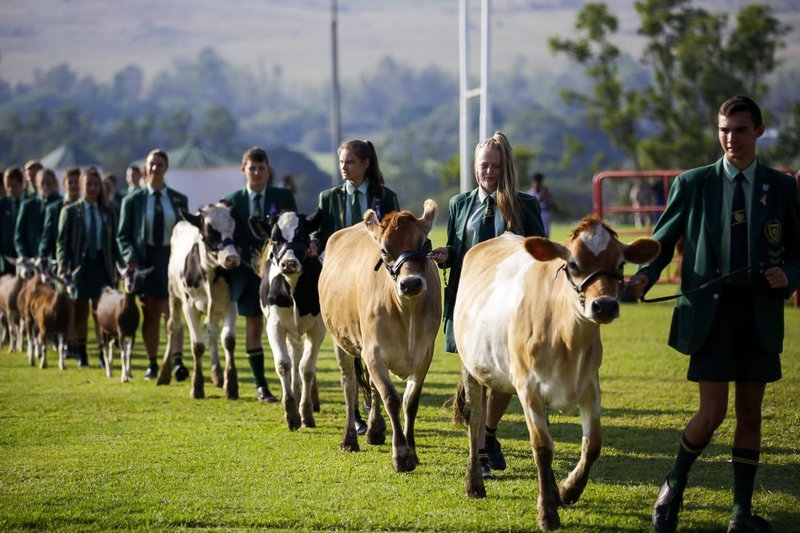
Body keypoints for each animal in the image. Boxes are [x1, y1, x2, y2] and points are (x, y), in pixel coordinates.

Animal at [156, 201, 242, 400]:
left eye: (233, 228)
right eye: (209, 230)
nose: (232, 258)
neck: (209, 272)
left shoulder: (230, 304)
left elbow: (228, 340)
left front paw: (231, 385)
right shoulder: (189, 306)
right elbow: (197, 345)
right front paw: (197, 386)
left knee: (212, 331)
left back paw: (217, 375)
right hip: (173, 295)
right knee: (173, 327)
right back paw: (163, 373)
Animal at [250, 210, 324, 430]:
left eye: (303, 237)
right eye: (275, 239)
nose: (289, 263)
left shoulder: (318, 328)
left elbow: (307, 369)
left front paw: (306, 413)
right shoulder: (274, 325)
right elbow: (284, 363)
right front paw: (291, 412)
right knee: (294, 355)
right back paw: (295, 392)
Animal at [320, 198, 444, 470]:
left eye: (425, 244)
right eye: (385, 251)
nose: (411, 283)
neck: (406, 311)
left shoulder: (425, 353)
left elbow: (410, 401)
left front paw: (411, 449)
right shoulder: (373, 352)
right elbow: (391, 398)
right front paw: (402, 455)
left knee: (372, 389)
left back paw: (375, 430)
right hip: (340, 341)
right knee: (349, 385)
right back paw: (349, 439)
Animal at [454, 214, 660, 528]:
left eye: (621, 265)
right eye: (573, 264)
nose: (604, 306)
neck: (567, 338)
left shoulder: (590, 385)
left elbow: (593, 443)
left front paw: (568, 490)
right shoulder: (528, 388)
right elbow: (542, 448)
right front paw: (547, 512)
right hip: (471, 366)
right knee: (475, 419)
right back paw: (474, 484)